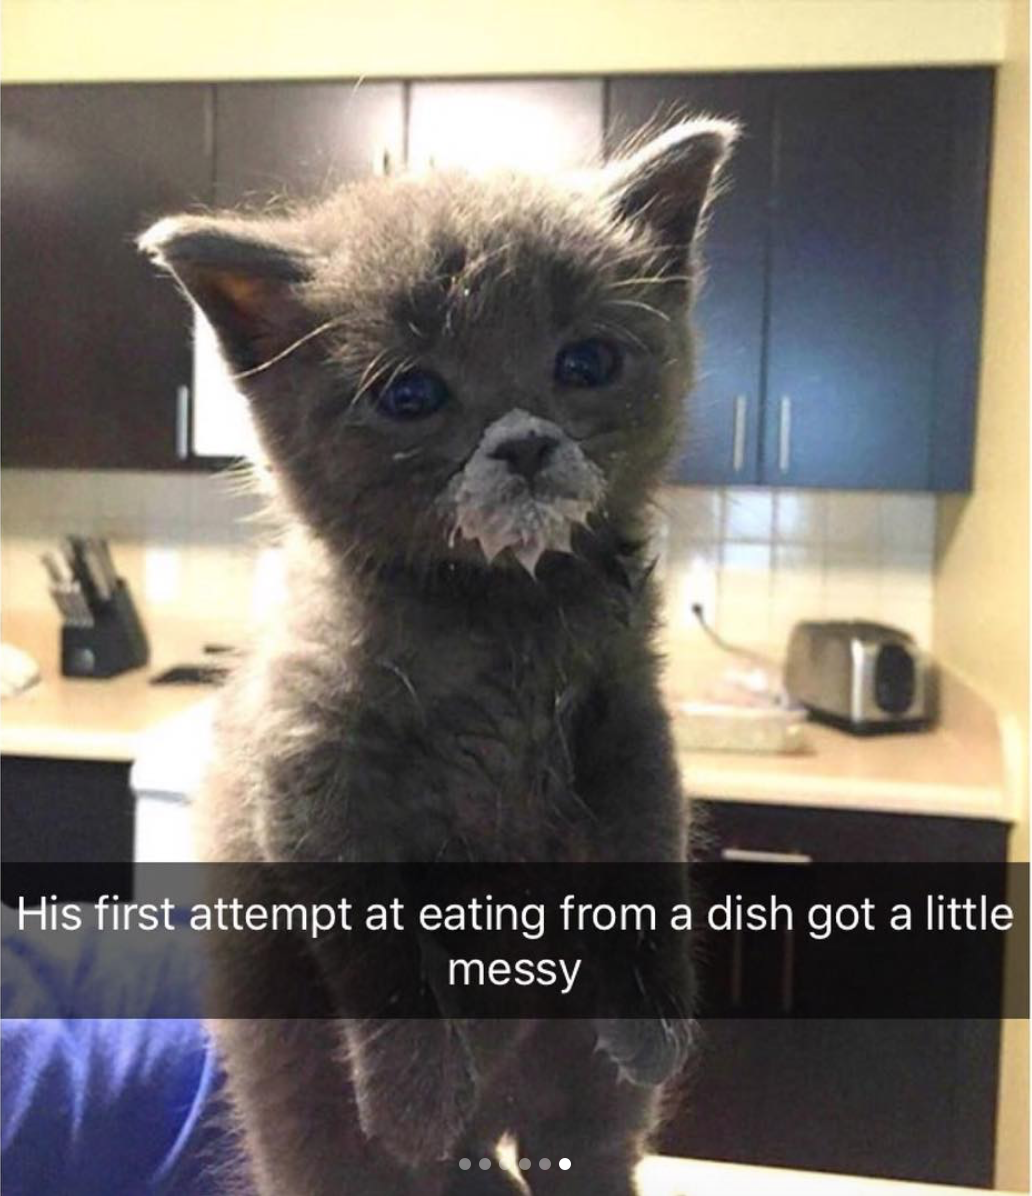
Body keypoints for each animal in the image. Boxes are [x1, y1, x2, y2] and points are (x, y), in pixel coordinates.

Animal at [140, 117, 735, 1196]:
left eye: (587, 362)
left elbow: (649, 847)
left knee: (584, 1145)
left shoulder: (629, 721)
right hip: (304, 1109)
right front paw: (415, 1092)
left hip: (576, 1092)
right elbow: (376, 945)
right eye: (411, 393)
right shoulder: (310, 773)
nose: (526, 442)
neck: (499, 614)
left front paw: (655, 1021)